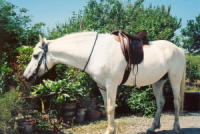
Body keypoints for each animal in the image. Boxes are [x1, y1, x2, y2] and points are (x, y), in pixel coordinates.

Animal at [23, 31, 186, 134]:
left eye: (36, 55)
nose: (26, 76)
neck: (96, 52)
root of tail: (179, 49)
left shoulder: (111, 84)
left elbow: (110, 108)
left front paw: (110, 130)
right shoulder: (102, 86)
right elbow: (107, 107)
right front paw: (109, 129)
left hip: (175, 78)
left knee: (176, 102)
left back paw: (176, 127)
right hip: (158, 82)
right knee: (160, 102)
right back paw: (152, 127)